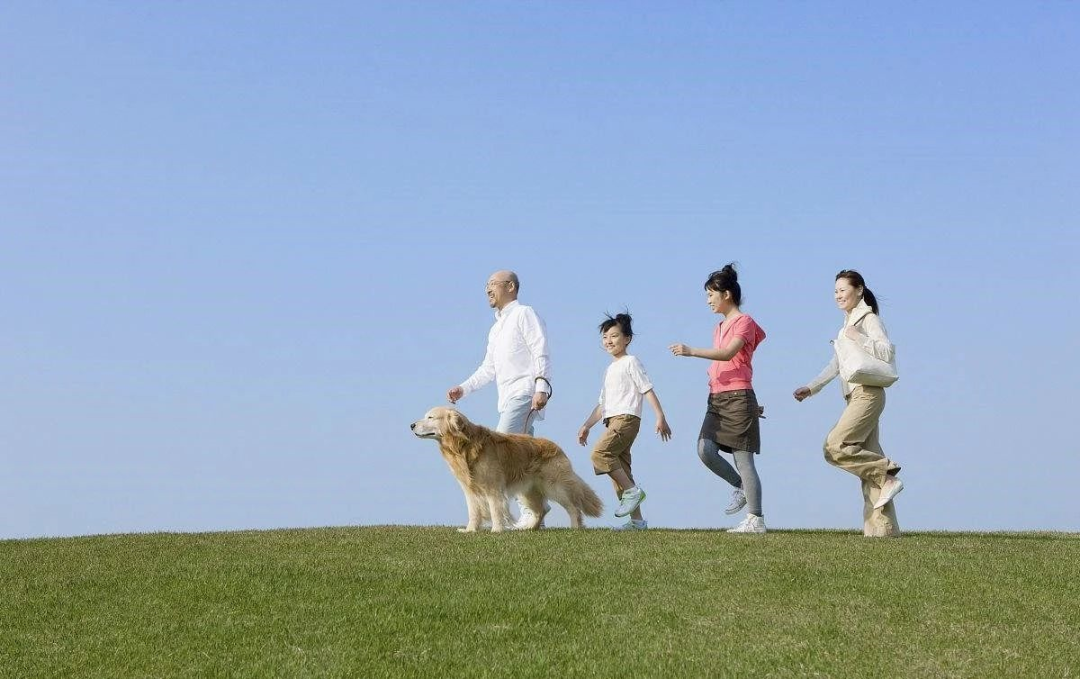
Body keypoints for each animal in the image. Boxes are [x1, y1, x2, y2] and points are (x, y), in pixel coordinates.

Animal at [408, 405, 604, 533]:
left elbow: (495, 509)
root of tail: (556, 446)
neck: (462, 446)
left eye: (430, 417)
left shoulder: (493, 486)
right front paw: (470, 530)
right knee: (541, 510)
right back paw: (529, 528)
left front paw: (496, 530)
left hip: (555, 486)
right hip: (528, 490)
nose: (411, 425)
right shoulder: (469, 489)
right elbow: (473, 511)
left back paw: (575, 528)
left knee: (573, 507)